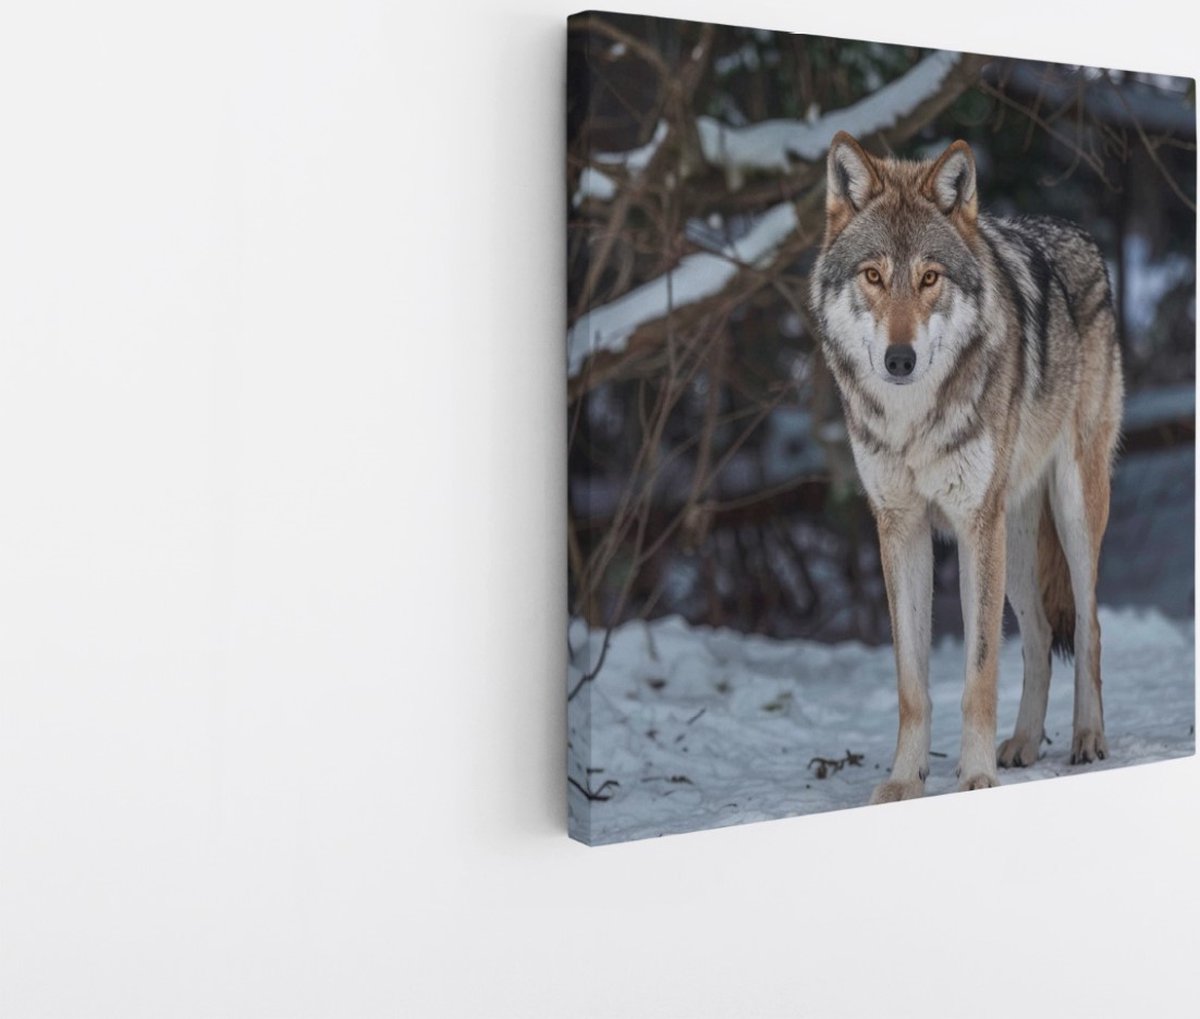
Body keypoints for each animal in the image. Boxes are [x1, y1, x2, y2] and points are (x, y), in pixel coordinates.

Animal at [810, 132, 1123, 802]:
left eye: (929, 277)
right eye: (873, 276)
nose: (900, 360)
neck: (911, 421)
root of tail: (1077, 233)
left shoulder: (973, 522)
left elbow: (979, 671)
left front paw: (975, 777)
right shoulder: (902, 527)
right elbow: (912, 682)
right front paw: (905, 780)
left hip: (1071, 508)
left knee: (1089, 626)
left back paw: (1087, 739)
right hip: (1015, 536)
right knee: (1038, 636)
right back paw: (1024, 743)